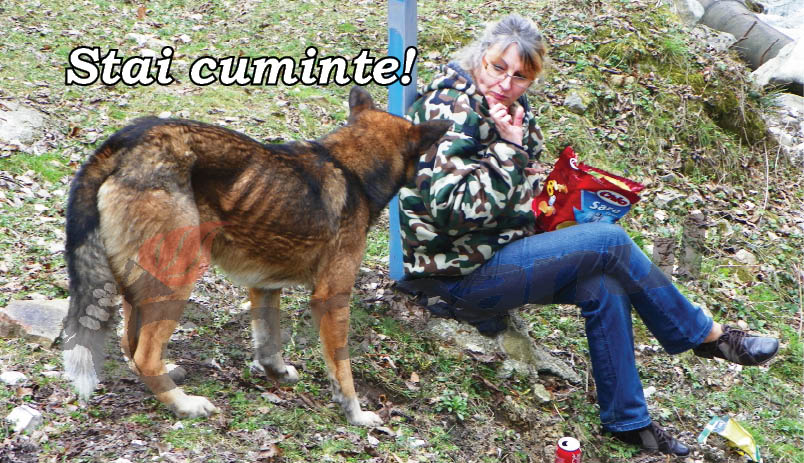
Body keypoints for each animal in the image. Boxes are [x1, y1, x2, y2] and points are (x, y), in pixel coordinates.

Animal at [61, 87, 451, 426]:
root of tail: (125, 142)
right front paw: (355, 414)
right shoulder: (332, 297)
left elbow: (268, 342)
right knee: (143, 354)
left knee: (132, 344)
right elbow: (343, 370)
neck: (349, 167)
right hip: (178, 277)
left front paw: (275, 371)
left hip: (140, 284)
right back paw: (185, 405)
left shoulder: (265, 286)